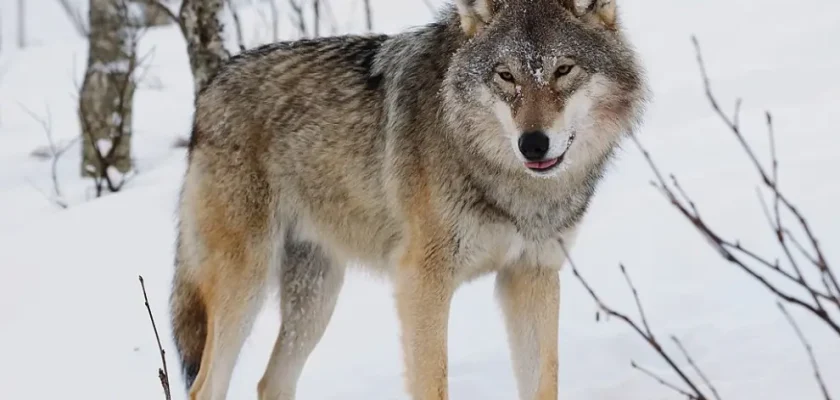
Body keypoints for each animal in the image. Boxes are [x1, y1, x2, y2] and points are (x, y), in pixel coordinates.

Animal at [169, 0, 648, 396]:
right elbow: (432, 384)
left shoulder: (532, 274)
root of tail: (209, 89)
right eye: (506, 76)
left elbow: (543, 383)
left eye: (563, 70)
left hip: (316, 298)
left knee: (271, 382)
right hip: (245, 286)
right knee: (205, 386)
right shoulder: (421, 282)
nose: (533, 144)